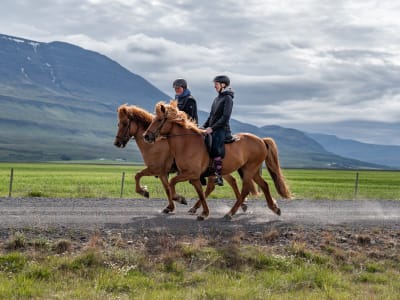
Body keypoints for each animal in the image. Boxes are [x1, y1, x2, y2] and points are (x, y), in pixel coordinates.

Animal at [112, 103, 253, 213]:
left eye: (124, 123)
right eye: (118, 123)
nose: (117, 143)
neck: (156, 145)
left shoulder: (156, 169)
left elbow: (138, 175)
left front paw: (145, 192)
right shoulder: (162, 173)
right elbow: (167, 188)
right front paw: (170, 207)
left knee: (217, 185)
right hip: (219, 170)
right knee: (230, 182)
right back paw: (241, 205)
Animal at [143, 101, 290, 220]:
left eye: (159, 120)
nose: (146, 136)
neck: (186, 143)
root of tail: (261, 140)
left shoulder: (190, 173)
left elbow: (172, 182)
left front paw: (180, 199)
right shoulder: (194, 177)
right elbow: (200, 193)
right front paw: (204, 213)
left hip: (249, 169)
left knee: (245, 190)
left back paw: (230, 213)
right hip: (249, 170)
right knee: (264, 185)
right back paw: (274, 208)